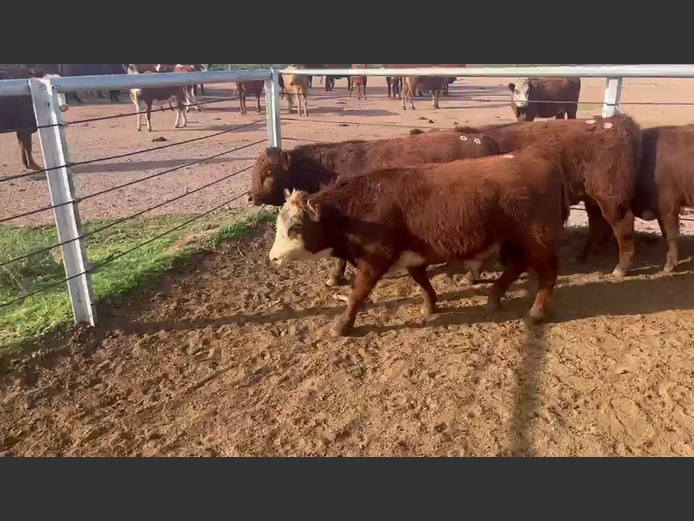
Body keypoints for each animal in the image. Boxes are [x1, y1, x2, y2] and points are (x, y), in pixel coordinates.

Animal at [268, 142, 572, 338]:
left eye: (295, 226)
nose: (273, 257)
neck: (358, 209)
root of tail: (542, 160)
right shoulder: (411, 254)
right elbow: (421, 281)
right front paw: (431, 304)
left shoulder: (374, 260)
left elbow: (356, 295)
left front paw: (342, 326)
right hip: (513, 240)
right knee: (517, 266)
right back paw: (494, 298)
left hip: (538, 240)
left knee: (547, 274)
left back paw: (535, 313)